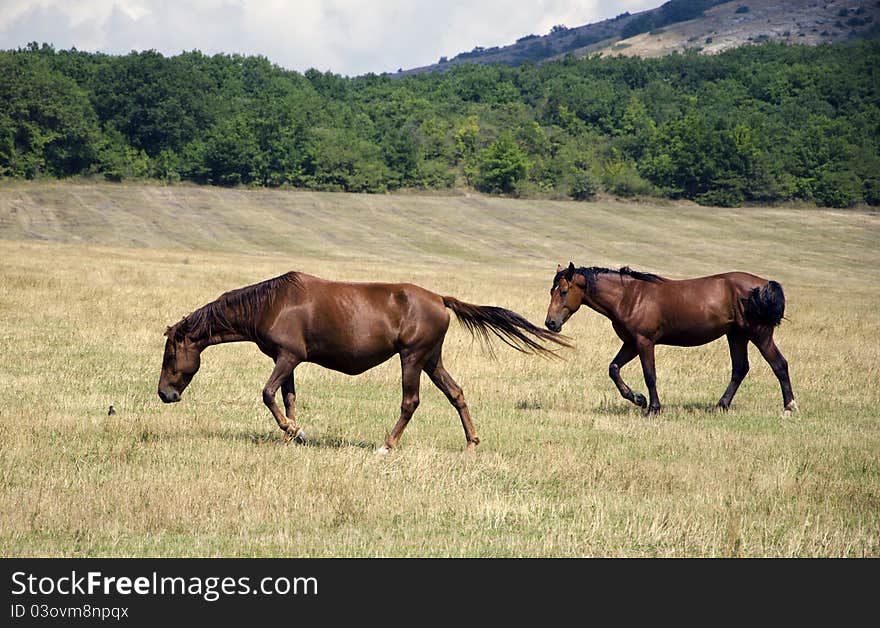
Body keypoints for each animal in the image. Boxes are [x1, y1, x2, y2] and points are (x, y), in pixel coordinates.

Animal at [158, 270, 572, 452]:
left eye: (170, 355)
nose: (164, 394)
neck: (270, 303)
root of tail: (441, 299)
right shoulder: (288, 360)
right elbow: (287, 398)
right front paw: (295, 432)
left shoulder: (287, 357)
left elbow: (267, 394)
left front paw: (293, 431)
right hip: (432, 359)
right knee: (456, 393)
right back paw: (471, 442)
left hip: (413, 357)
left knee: (410, 402)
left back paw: (387, 444)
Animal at [544, 264, 796, 418]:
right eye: (551, 291)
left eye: (563, 291)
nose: (551, 323)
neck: (629, 296)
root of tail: (764, 284)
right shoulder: (631, 343)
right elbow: (614, 368)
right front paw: (638, 399)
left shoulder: (644, 342)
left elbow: (650, 375)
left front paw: (652, 408)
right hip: (736, 335)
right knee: (740, 369)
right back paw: (720, 406)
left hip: (759, 335)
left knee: (779, 365)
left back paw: (789, 407)